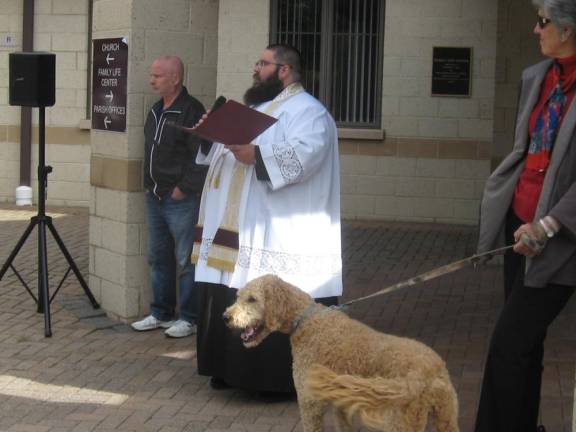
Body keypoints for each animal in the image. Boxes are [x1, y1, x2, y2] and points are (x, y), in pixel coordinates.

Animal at [223, 276, 456, 432]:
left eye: (252, 299)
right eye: (238, 297)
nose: (226, 317)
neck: (306, 321)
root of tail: (430, 372)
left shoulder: (309, 402)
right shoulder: (341, 404)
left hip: (402, 422)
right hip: (446, 416)